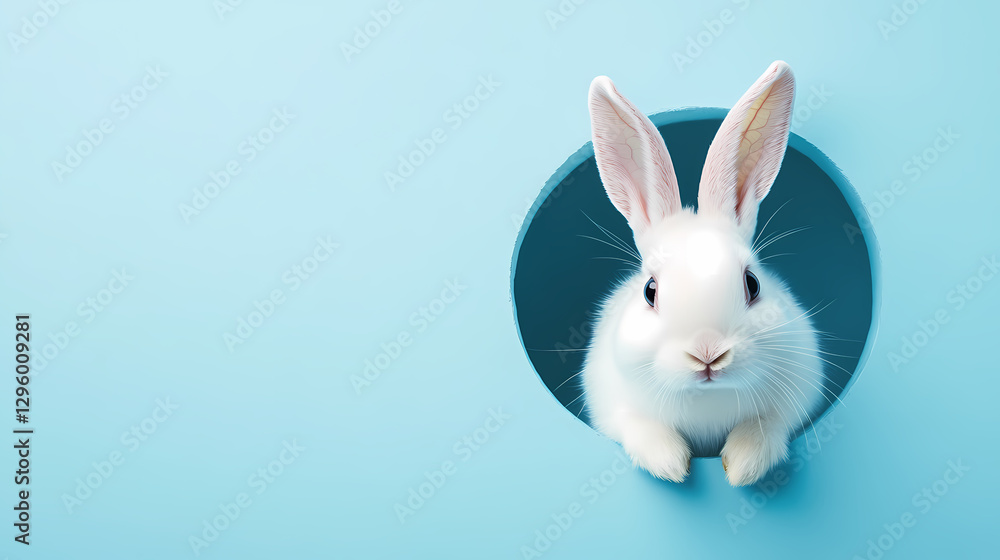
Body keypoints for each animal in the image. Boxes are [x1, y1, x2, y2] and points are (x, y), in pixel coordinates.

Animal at [581, 61, 825, 486]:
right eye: (650, 291)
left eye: (752, 284)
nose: (707, 354)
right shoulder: (610, 402)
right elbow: (639, 426)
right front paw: (670, 464)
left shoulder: (798, 391)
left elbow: (768, 424)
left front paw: (743, 466)